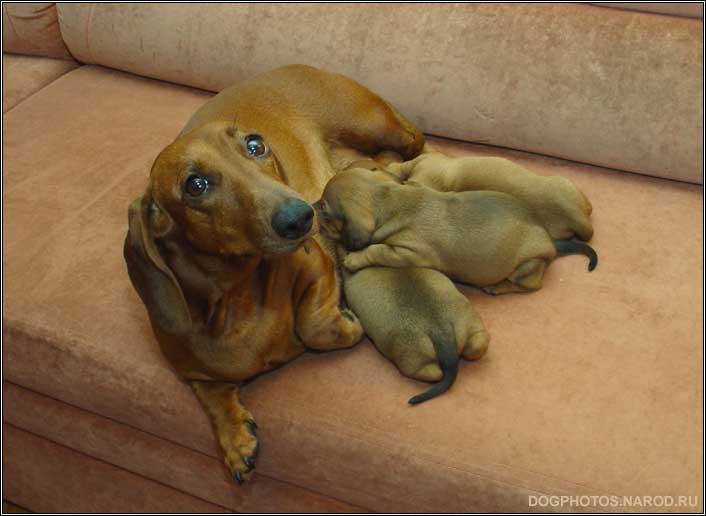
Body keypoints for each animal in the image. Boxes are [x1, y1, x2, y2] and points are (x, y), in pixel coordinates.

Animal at [122, 65, 424, 484]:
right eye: (195, 185)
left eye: (254, 146)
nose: (301, 216)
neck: (236, 301)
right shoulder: (189, 369)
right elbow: (209, 391)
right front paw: (234, 437)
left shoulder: (316, 262)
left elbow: (314, 326)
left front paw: (345, 323)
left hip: (378, 125)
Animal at [314, 168, 592, 294]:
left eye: (326, 211)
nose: (313, 205)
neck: (390, 199)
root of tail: (551, 244)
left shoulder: (406, 253)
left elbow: (375, 250)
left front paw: (354, 259)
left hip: (527, 267)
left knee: (531, 285)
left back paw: (498, 287)